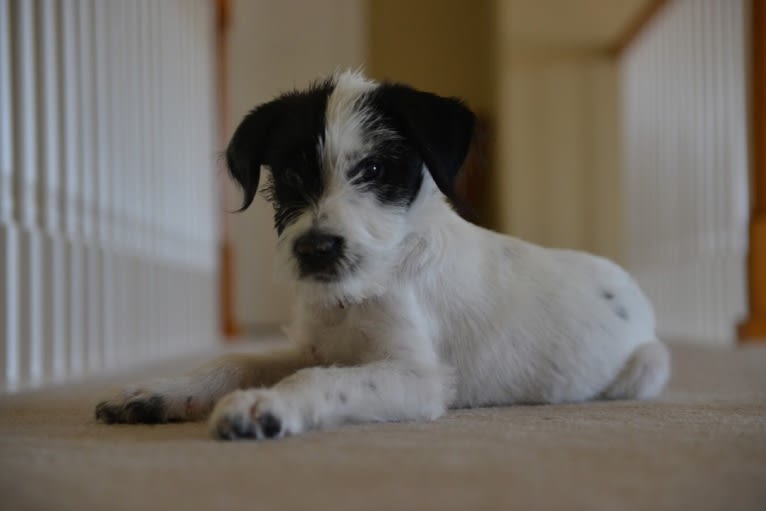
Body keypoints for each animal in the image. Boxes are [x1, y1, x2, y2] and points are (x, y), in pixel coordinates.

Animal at [96, 71, 672, 440]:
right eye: (292, 174)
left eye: (373, 170)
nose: (315, 250)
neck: (359, 294)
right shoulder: (315, 346)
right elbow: (236, 359)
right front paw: (159, 392)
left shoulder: (417, 376)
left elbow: (322, 381)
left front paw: (266, 405)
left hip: (648, 366)